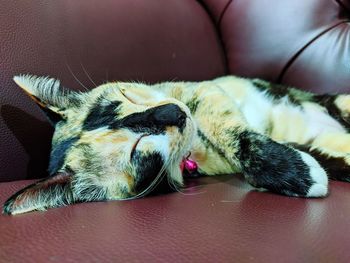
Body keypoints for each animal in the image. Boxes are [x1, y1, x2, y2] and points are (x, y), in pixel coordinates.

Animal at [2, 75, 350, 216]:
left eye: (126, 94)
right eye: (137, 149)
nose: (173, 112)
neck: (197, 150)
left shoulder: (203, 92)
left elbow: (232, 133)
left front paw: (292, 172)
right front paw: (301, 174)